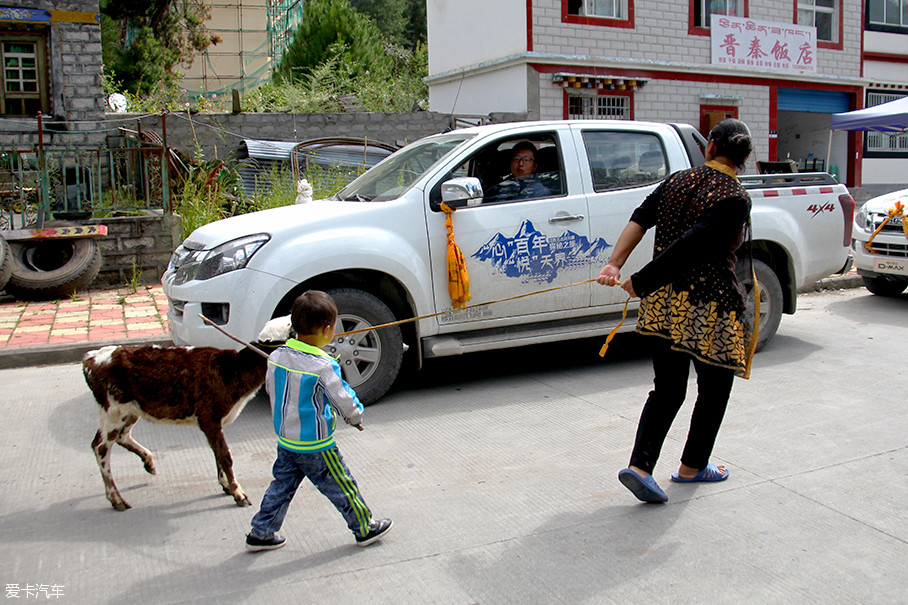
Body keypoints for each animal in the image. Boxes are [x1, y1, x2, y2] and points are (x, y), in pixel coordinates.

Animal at [83, 316, 290, 510]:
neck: (231, 371)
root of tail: (91, 358)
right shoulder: (208, 416)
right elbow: (225, 455)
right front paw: (238, 493)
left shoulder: (213, 422)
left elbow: (217, 452)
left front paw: (225, 485)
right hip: (112, 409)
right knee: (100, 446)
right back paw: (116, 498)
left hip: (131, 409)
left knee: (122, 436)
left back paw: (148, 462)